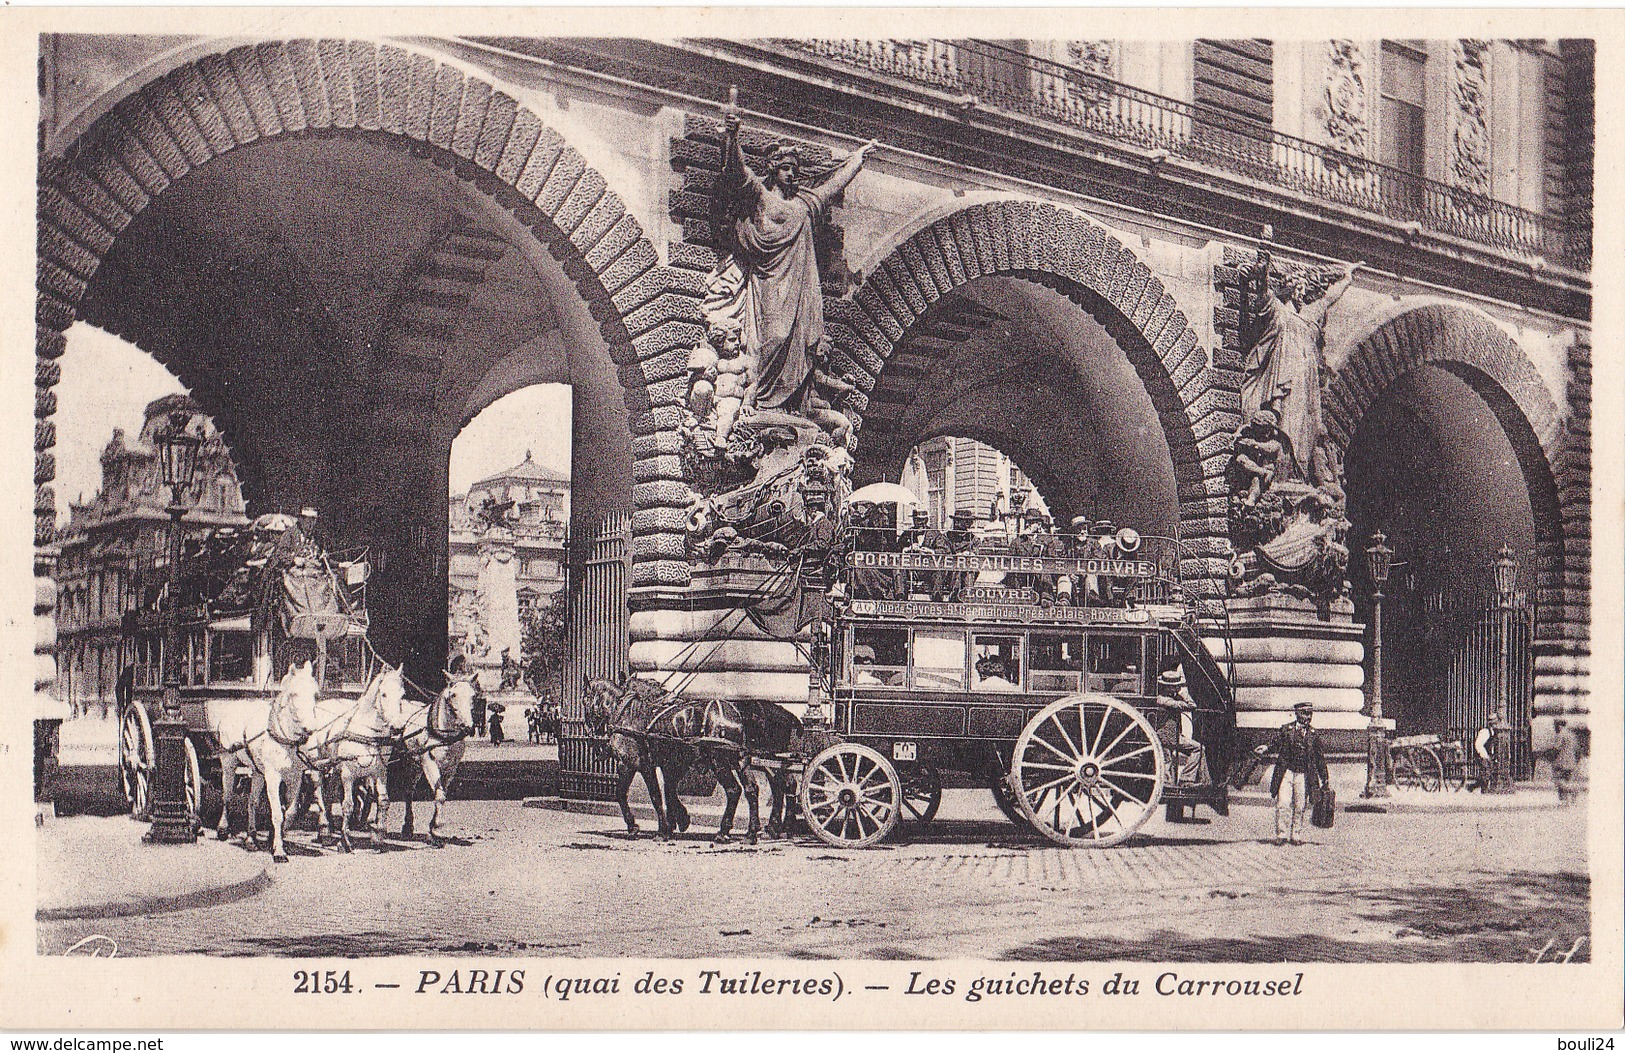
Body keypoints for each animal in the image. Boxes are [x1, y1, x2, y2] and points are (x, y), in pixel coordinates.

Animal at [206, 666, 320, 864]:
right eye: (294, 694)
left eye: (315, 694)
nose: (310, 729)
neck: (283, 738)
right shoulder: (273, 777)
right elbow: (277, 814)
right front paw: (279, 852)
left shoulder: (295, 778)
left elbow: (290, 812)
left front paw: (275, 839)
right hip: (228, 763)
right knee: (227, 797)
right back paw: (223, 829)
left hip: (257, 771)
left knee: (252, 801)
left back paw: (251, 838)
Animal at [302, 666, 409, 858]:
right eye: (384, 694)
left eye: (402, 694)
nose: (398, 727)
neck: (366, 733)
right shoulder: (348, 775)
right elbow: (348, 805)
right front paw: (345, 841)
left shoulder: (380, 773)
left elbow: (383, 801)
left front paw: (378, 838)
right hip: (316, 766)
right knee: (318, 793)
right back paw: (324, 829)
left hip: (333, 768)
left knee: (328, 795)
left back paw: (326, 831)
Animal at [394, 676, 474, 845]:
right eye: (453, 695)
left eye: (473, 695)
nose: (467, 726)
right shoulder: (429, 762)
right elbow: (439, 794)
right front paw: (436, 824)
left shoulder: (451, 768)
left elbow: (442, 794)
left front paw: (434, 828)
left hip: (415, 764)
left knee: (409, 790)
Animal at [585, 679, 806, 845]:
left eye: (584, 700)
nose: (592, 735)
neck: (629, 715)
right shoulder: (671, 764)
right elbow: (668, 792)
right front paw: (677, 821)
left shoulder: (636, 764)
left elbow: (647, 795)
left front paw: (655, 829)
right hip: (746, 759)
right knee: (759, 788)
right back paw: (759, 831)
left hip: (722, 761)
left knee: (737, 790)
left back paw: (727, 831)